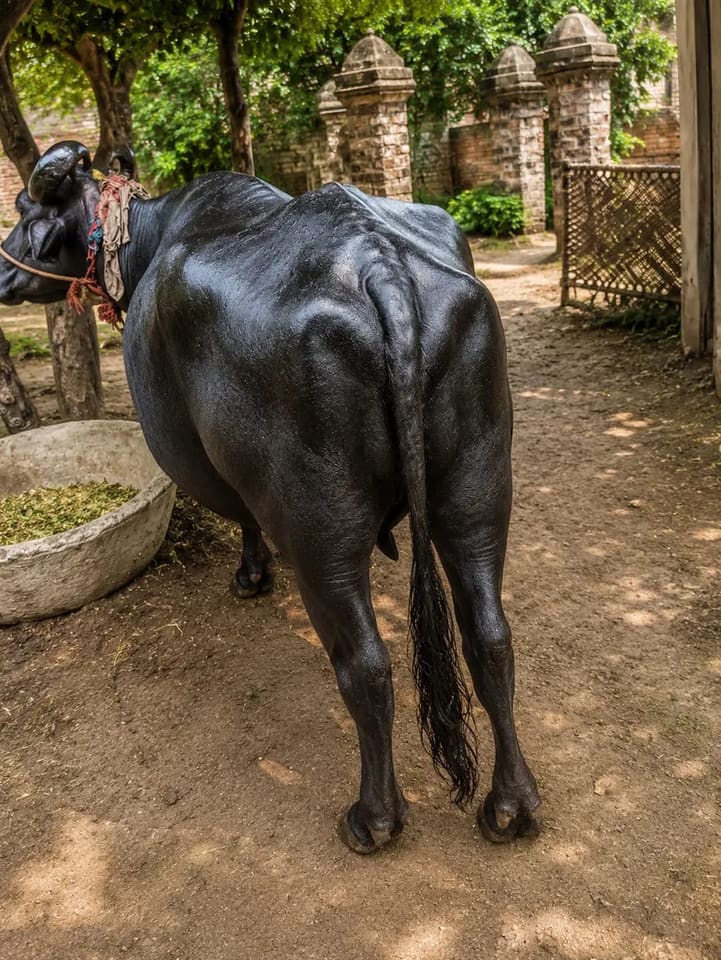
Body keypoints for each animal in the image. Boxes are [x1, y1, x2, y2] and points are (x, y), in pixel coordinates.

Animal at [0, 141, 541, 852]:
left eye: (27, 210)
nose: (0, 275)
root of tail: (380, 268)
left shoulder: (204, 461)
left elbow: (241, 518)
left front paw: (251, 576)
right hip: (478, 490)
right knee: (490, 636)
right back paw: (512, 805)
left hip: (321, 530)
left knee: (366, 666)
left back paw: (373, 818)